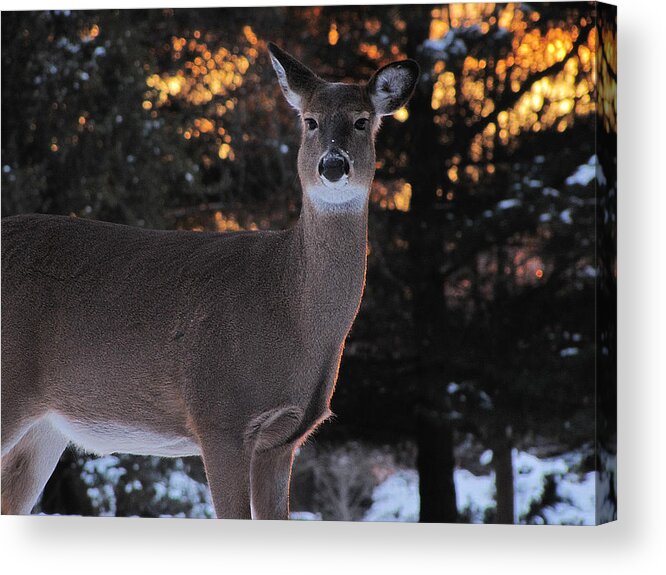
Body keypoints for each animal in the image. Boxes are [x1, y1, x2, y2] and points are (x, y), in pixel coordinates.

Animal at [0, 42, 416, 520]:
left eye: (362, 121)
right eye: (310, 121)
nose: (333, 164)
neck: (290, 308)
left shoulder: (282, 441)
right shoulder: (220, 416)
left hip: (44, 428)